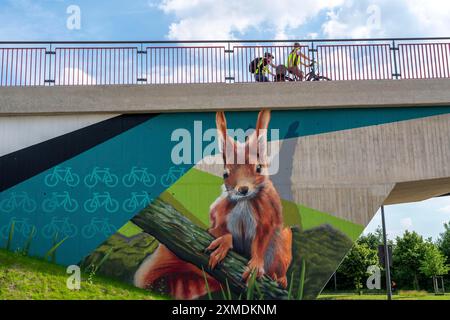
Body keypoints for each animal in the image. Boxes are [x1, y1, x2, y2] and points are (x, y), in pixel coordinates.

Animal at [134, 110, 292, 300]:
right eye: (225, 173)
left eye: (259, 168)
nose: (243, 189)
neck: (244, 202)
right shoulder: (219, 213)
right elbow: (219, 231)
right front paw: (223, 242)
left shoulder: (268, 215)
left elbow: (262, 240)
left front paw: (256, 265)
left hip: (283, 245)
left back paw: (279, 278)